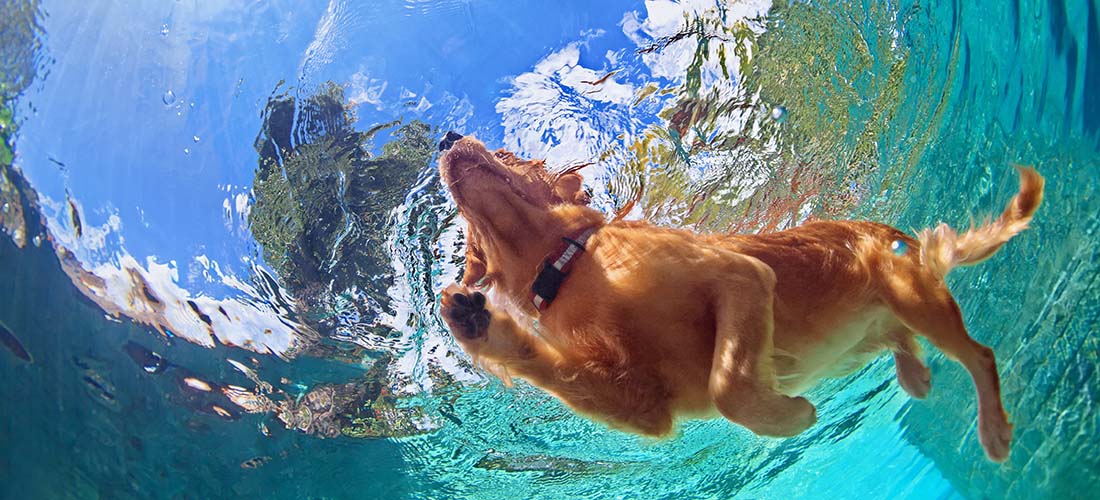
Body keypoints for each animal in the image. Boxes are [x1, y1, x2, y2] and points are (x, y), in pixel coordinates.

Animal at [435, 134, 1038, 461]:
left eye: (508, 151)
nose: (446, 138)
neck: (569, 265)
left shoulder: (740, 277)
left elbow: (729, 386)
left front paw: (788, 417)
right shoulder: (646, 406)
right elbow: (560, 370)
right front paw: (474, 323)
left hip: (913, 295)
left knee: (980, 355)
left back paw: (994, 429)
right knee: (906, 341)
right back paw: (916, 374)